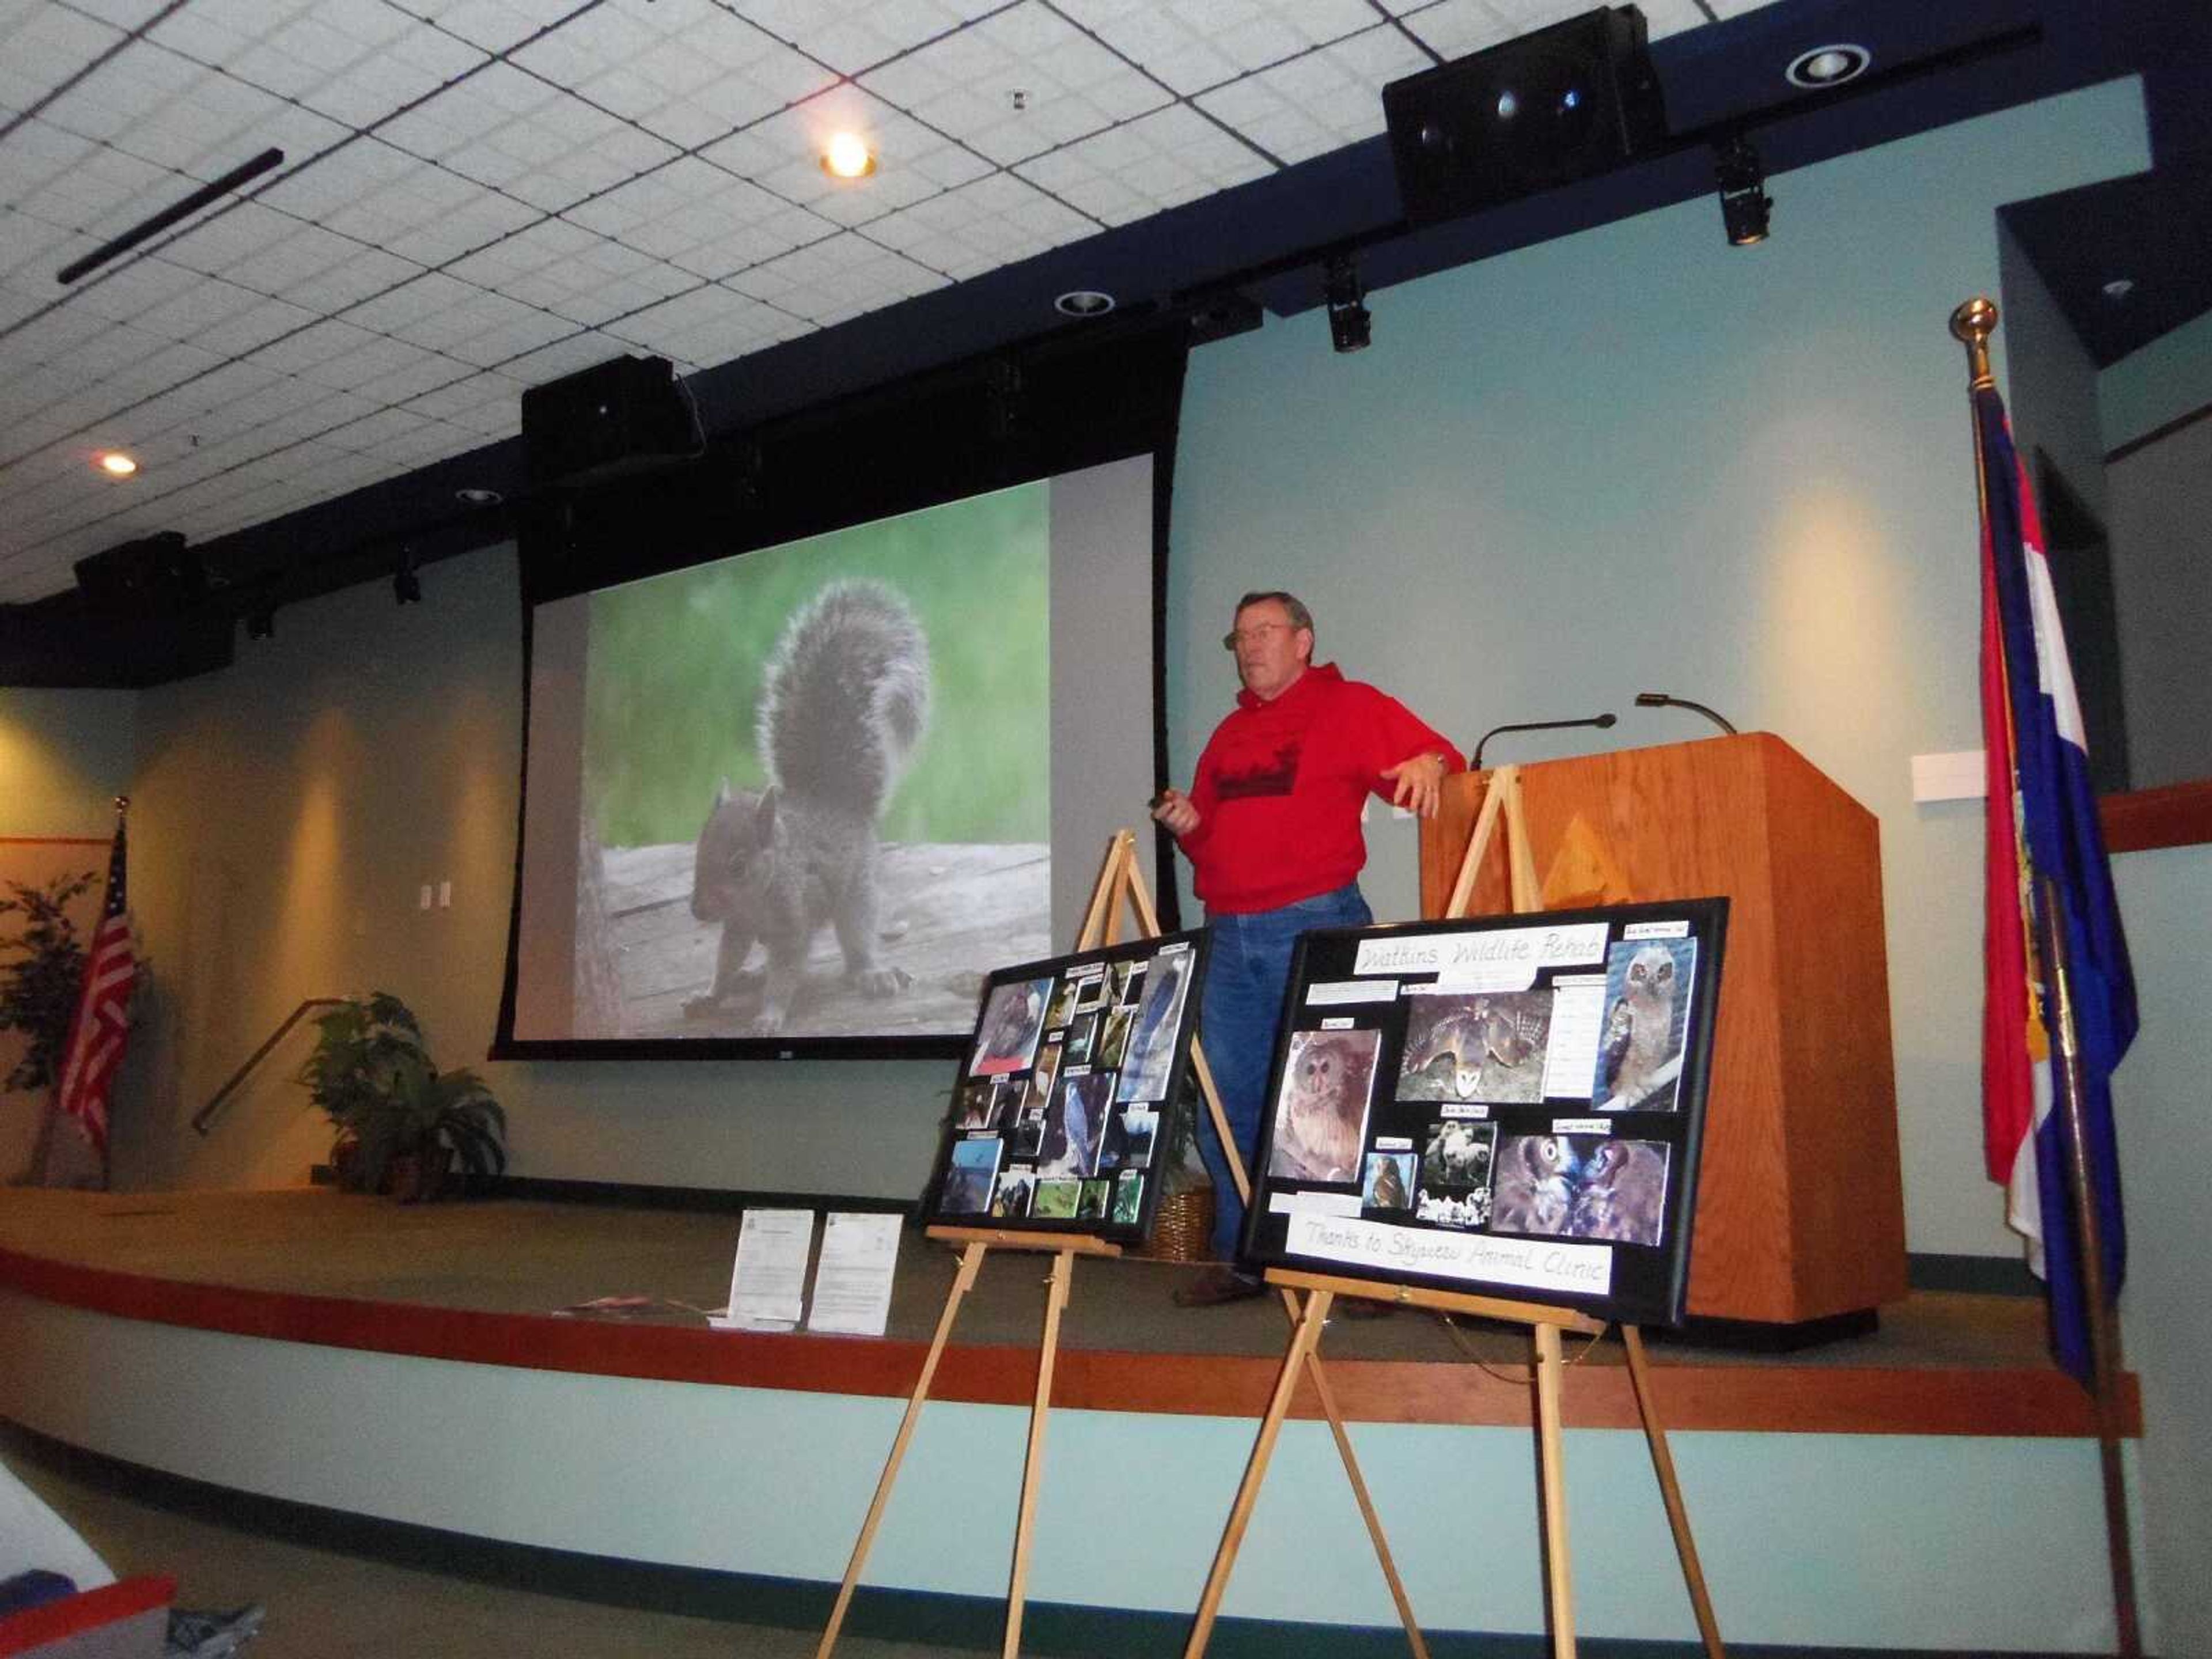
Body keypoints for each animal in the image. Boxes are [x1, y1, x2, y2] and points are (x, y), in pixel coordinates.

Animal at [690, 579, 933, 1035]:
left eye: (737, 866)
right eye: (697, 854)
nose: (697, 910)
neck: (757, 895)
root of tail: (837, 798)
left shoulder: (794, 921)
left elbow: (788, 969)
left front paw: (770, 1014)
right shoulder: (738, 927)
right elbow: (727, 959)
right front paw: (711, 994)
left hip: (857, 890)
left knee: (856, 940)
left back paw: (870, 973)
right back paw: (753, 974)